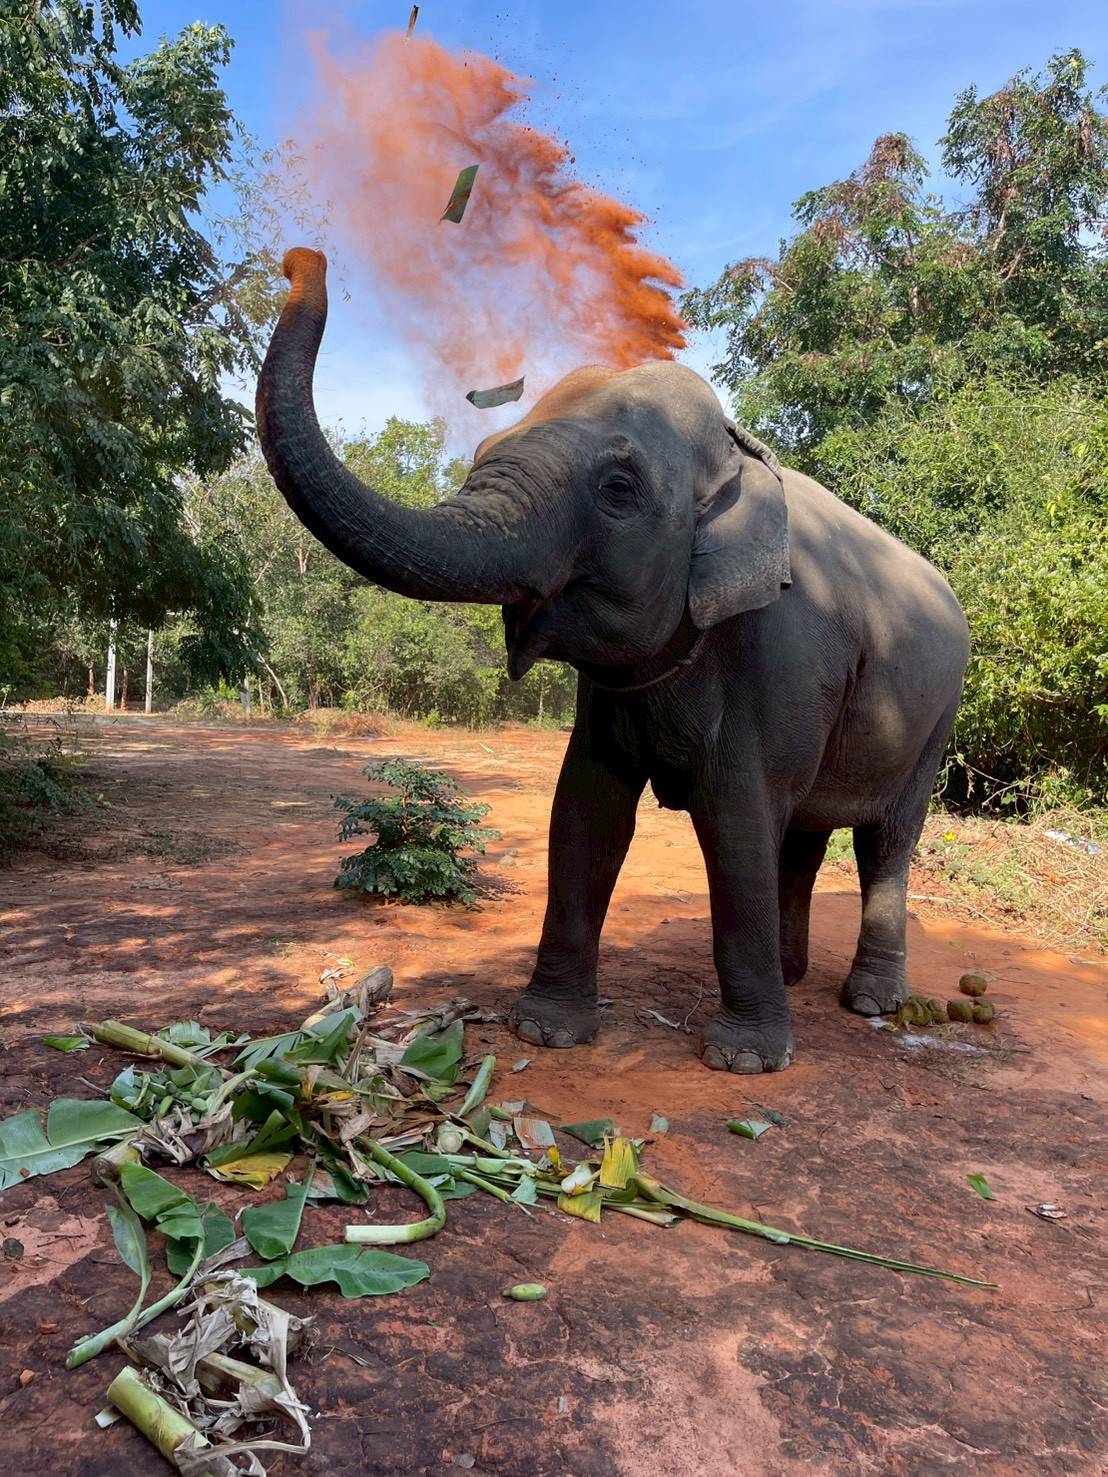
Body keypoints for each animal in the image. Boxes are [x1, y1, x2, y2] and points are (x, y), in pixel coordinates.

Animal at [257, 247, 969, 1074]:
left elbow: (737, 823)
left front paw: (742, 1060)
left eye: (619, 490)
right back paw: (794, 975)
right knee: (806, 832)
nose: (302, 259)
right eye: (483, 455)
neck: (739, 454)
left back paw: (871, 1001)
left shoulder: (776, 656)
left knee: (886, 839)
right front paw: (544, 1030)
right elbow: (584, 811)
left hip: (937, 719)